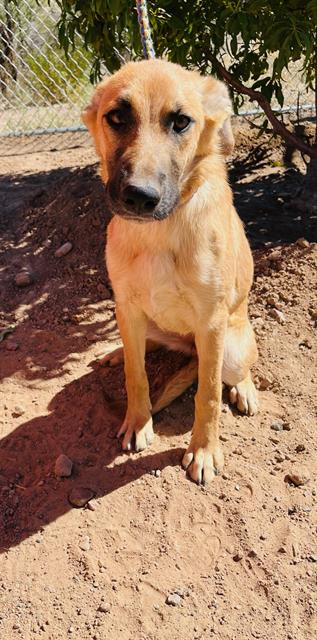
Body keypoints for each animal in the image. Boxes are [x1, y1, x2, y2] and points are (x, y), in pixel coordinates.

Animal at [82, 60, 258, 484]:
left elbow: (207, 394)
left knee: (235, 369)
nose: (139, 197)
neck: (159, 233)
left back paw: (244, 388)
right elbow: (136, 374)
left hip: (230, 345)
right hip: (137, 318)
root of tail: (188, 347)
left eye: (181, 122)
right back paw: (115, 352)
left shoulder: (211, 323)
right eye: (116, 117)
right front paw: (138, 421)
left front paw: (204, 450)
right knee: (141, 345)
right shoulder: (127, 305)